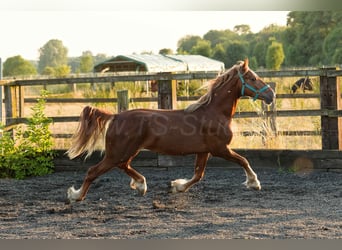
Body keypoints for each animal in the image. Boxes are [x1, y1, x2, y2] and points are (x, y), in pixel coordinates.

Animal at [66, 58, 276, 203]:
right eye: (252, 78)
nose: (271, 94)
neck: (213, 113)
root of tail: (116, 116)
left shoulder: (204, 151)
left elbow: (198, 175)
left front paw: (177, 186)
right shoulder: (220, 149)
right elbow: (243, 160)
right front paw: (254, 183)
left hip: (125, 152)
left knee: (123, 166)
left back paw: (141, 185)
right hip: (117, 153)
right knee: (93, 171)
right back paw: (76, 196)